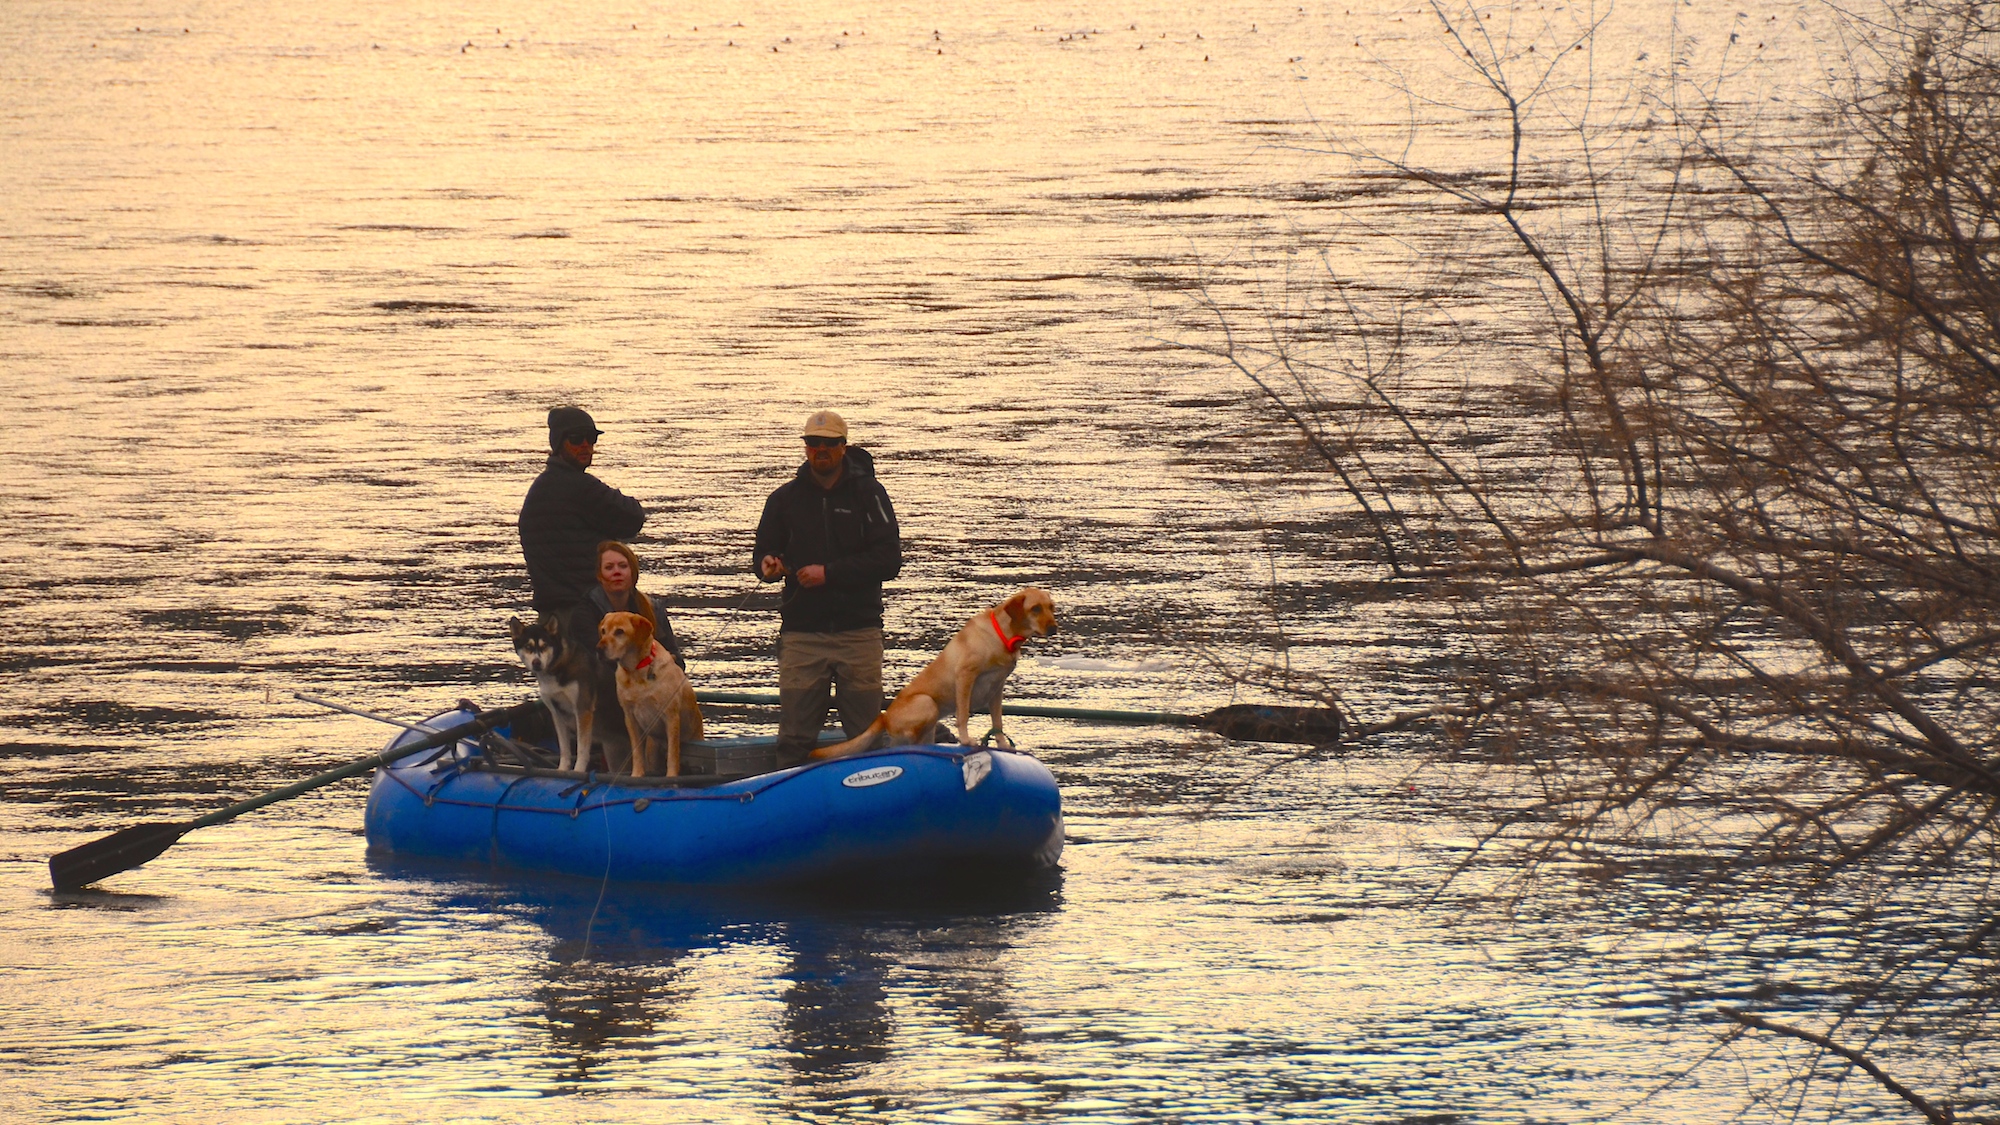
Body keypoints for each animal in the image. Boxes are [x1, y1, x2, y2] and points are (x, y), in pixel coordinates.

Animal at [508, 612, 592, 768]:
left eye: (545, 645)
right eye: (528, 646)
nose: (537, 662)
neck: (558, 666)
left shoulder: (582, 710)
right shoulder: (556, 712)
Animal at [592, 608, 704, 776]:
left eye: (619, 632)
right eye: (603, 631)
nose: (599, 649)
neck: (636, 672)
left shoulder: (670, 716)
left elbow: (673, 754)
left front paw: (671, 777)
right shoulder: (630, 718)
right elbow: (637, 752)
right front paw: (636, 774)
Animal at [812, 580, 1064, 756]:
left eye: (1051, 607)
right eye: (1035, 609)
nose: (1053, 628)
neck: (1003, 636)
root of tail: (883, 717)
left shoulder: (997, 687)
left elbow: (998, 722)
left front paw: (1002, 744)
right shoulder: (965, 676)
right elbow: (963, 715)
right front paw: (967, 740)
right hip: (927, 703)